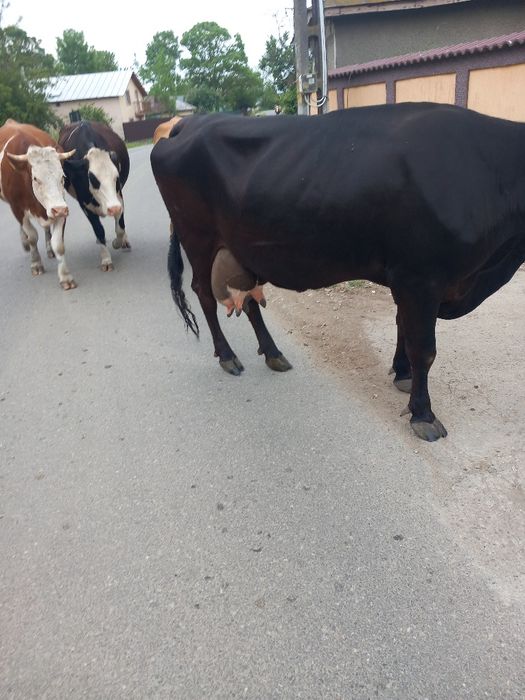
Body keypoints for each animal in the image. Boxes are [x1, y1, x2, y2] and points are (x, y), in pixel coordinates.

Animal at [0, 119, 76, 289]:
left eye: (63, 176)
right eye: (35, 178)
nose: (59, 210)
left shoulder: (60, 205)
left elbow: (58, 243)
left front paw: (65, 276)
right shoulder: (17, 208)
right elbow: (32, 236)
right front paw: (36, 263)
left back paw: (49, 249)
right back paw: (25, 243)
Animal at [58, 121, 131, 271]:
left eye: (116, 178)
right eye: (92, 179)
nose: (113, 208)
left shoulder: (118, 197)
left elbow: (120, 227)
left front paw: (117, 242)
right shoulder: (85, 205)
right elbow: (99, 230)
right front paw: (106, 259)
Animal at [150, 103, 525, 442]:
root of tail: (188, 122)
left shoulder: (409, 279)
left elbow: (403, 326)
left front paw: (402, 374)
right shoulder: (420, 277)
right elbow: (424, 348)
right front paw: (423, 415)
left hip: (239, 246)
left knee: (248, 297)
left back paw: (273, 353)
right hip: (197, 237)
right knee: (203, 294)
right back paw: (228, 356)